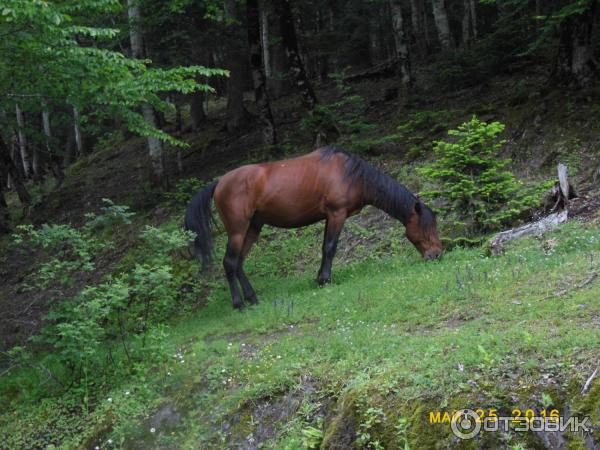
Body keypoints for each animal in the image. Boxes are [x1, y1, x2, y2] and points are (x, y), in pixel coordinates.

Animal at [185, 148, 442, 310]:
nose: (438, 254)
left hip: (253, 228)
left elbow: (324, 248)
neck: (352, 175)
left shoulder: (330, 216)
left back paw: (252, 298)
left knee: (238, 263)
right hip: (238, 230)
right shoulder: (337, 214)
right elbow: (330, 247)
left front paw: (320, 277)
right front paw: (324, 280)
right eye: (428, 227)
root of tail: (219, 182)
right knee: (229, 263)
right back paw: (239, 304)